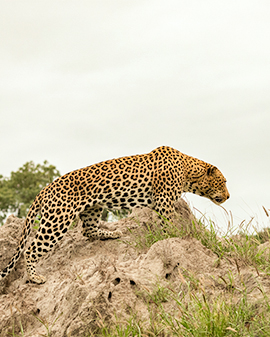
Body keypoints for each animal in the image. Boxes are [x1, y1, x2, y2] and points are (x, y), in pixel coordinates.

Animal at [0, 146, 229, 282]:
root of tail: (45, 189)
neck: (188, 172)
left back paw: (113, 233)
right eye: (223, 181)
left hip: (92, 208)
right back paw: (34, 277)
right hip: (57, 220)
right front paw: (177, 238)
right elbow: (169, 224)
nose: (228, 196)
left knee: (88, 230)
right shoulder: (164, 202)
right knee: (31, 249)